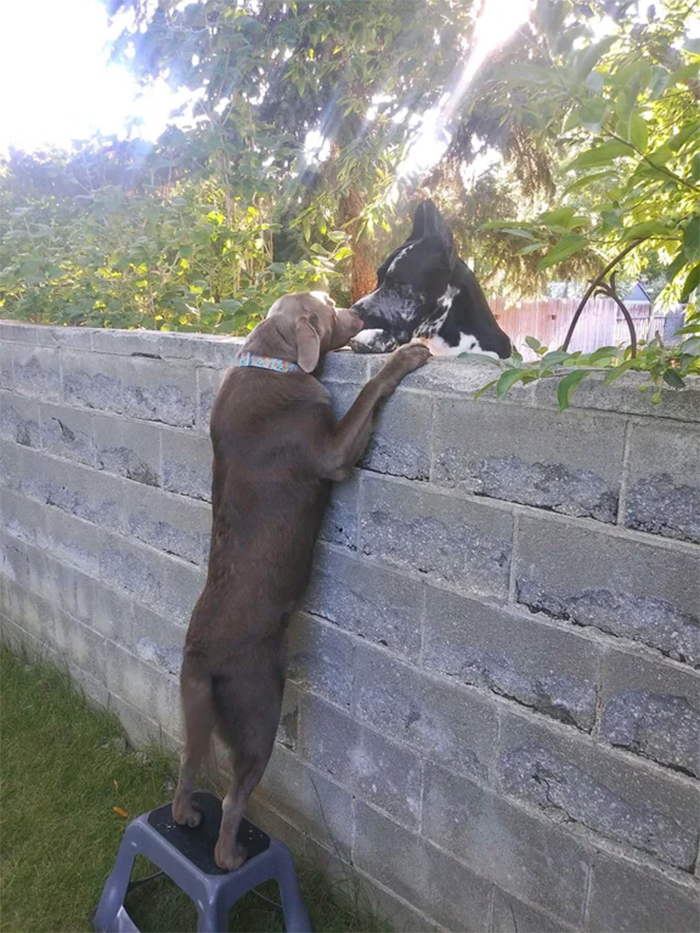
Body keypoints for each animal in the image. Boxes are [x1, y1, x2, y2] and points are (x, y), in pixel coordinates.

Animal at [172, 290, 430, 868]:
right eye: (331, 307)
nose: (359, 311)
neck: (271, 358)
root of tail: (200, 656)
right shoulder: (332, 452)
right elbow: (370, 393)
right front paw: (406, 355)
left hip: (198, 715)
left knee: (187, 767)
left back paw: (187, 815)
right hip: (260, 709)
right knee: (234, 796)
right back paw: (229, 858)